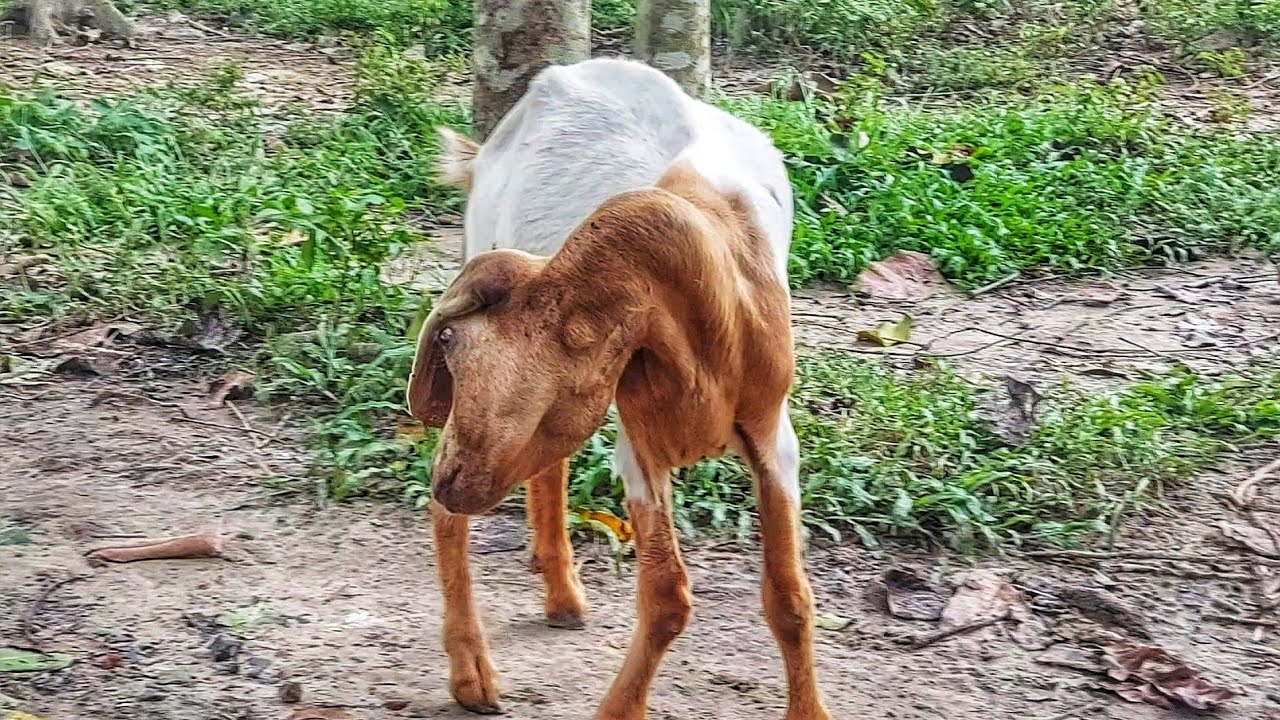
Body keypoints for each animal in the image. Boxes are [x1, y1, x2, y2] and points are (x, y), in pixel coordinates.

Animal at [407, 57, 830, 720]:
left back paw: (559, 596)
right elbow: (667, 596)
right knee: (461, 513)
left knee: (546, 469)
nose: (452, 480)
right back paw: (471, 670)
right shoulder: (640, 447)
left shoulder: (772, 436)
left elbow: (789, 597)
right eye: (448, 347)